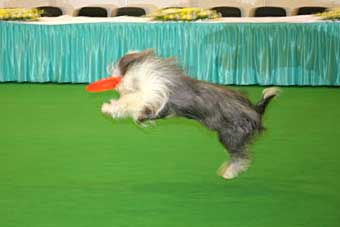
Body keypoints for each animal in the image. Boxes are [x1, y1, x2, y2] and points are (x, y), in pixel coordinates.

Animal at [101, 49, 278, 179]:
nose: (115, 84)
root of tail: (254, 109)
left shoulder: (154, 96)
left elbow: (132, 101)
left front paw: (108, 107)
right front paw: (109, 107)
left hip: (231, 135)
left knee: (242, 156)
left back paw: (229, 172)